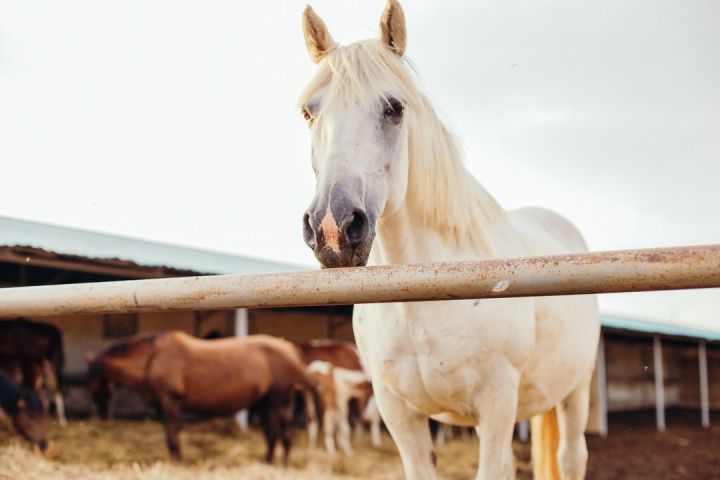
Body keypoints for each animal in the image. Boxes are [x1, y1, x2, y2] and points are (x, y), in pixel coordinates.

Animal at [86, 332, 322, 464]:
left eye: (96, 385)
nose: (102, 414)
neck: (152, 358)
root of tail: (290, 347)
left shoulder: (170, 403)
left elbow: (172, 436)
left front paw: (177, 462)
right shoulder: (163, 407)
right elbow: (170, 435)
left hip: (280, 401)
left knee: (285, 435)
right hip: (265, 404)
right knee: (272, 435)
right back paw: (268, 462)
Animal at [298, 1, 600, 478]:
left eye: (394, 108)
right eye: (309, 114)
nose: (333, 227)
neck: (423, 296)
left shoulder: (496, 404)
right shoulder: (398, 413)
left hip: (575, 390)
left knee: (571, 457)